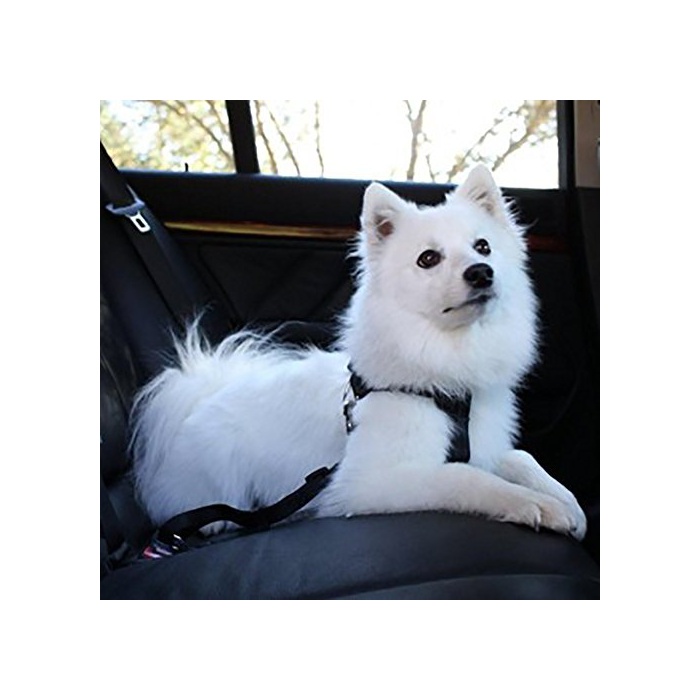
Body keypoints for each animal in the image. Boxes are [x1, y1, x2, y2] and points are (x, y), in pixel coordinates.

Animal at [131, 165, 587, 540]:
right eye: (428, 259)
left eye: (484, 247)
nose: (481, 272)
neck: (447, 372)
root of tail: (199, 399)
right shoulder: (371, 481)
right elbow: (465, 477)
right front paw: (538, 505)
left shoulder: (488, 446)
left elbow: (522, 458)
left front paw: (568, 503)